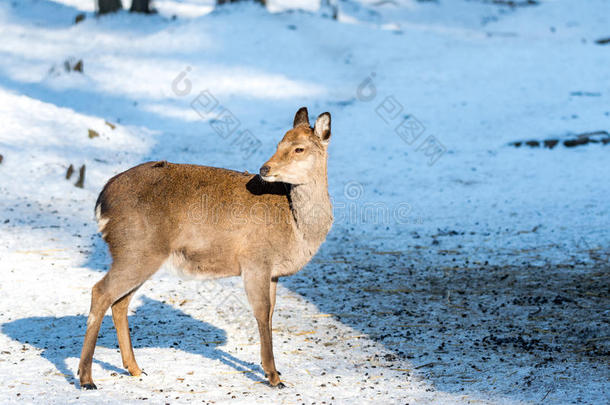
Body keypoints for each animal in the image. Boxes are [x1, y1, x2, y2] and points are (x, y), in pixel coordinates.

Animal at [77, 106, 332, 388]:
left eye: (299, 148)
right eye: (279, 143)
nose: (265, 168)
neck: (296, 228)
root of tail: (101, 202)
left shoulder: (273, 272)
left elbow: (271, 313)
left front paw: (275, 372)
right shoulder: (255, 260)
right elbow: (262, 312)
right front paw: (274, 376)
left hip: (139, 254)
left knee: (119, 302)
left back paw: (135, 369)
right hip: (136, 250)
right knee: (101, 292)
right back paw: (86, 378)